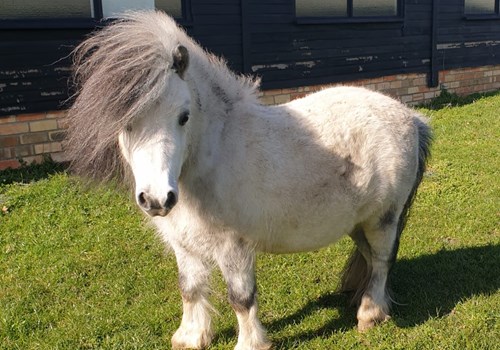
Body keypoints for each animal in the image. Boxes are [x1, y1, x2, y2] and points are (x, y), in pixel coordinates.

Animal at [66, 10, 432, 350]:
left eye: (183, 116)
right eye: (125, 123)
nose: (157, 199)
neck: (211, 157)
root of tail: (411, 118)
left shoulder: (234, 246)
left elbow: (241, 298)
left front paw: (249, 342)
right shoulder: (184, 244)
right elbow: (190, 288)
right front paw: (191, 337)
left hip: (382, 219)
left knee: (382, 260)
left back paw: (370, 313)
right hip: (358, 223)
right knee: (370, 259)